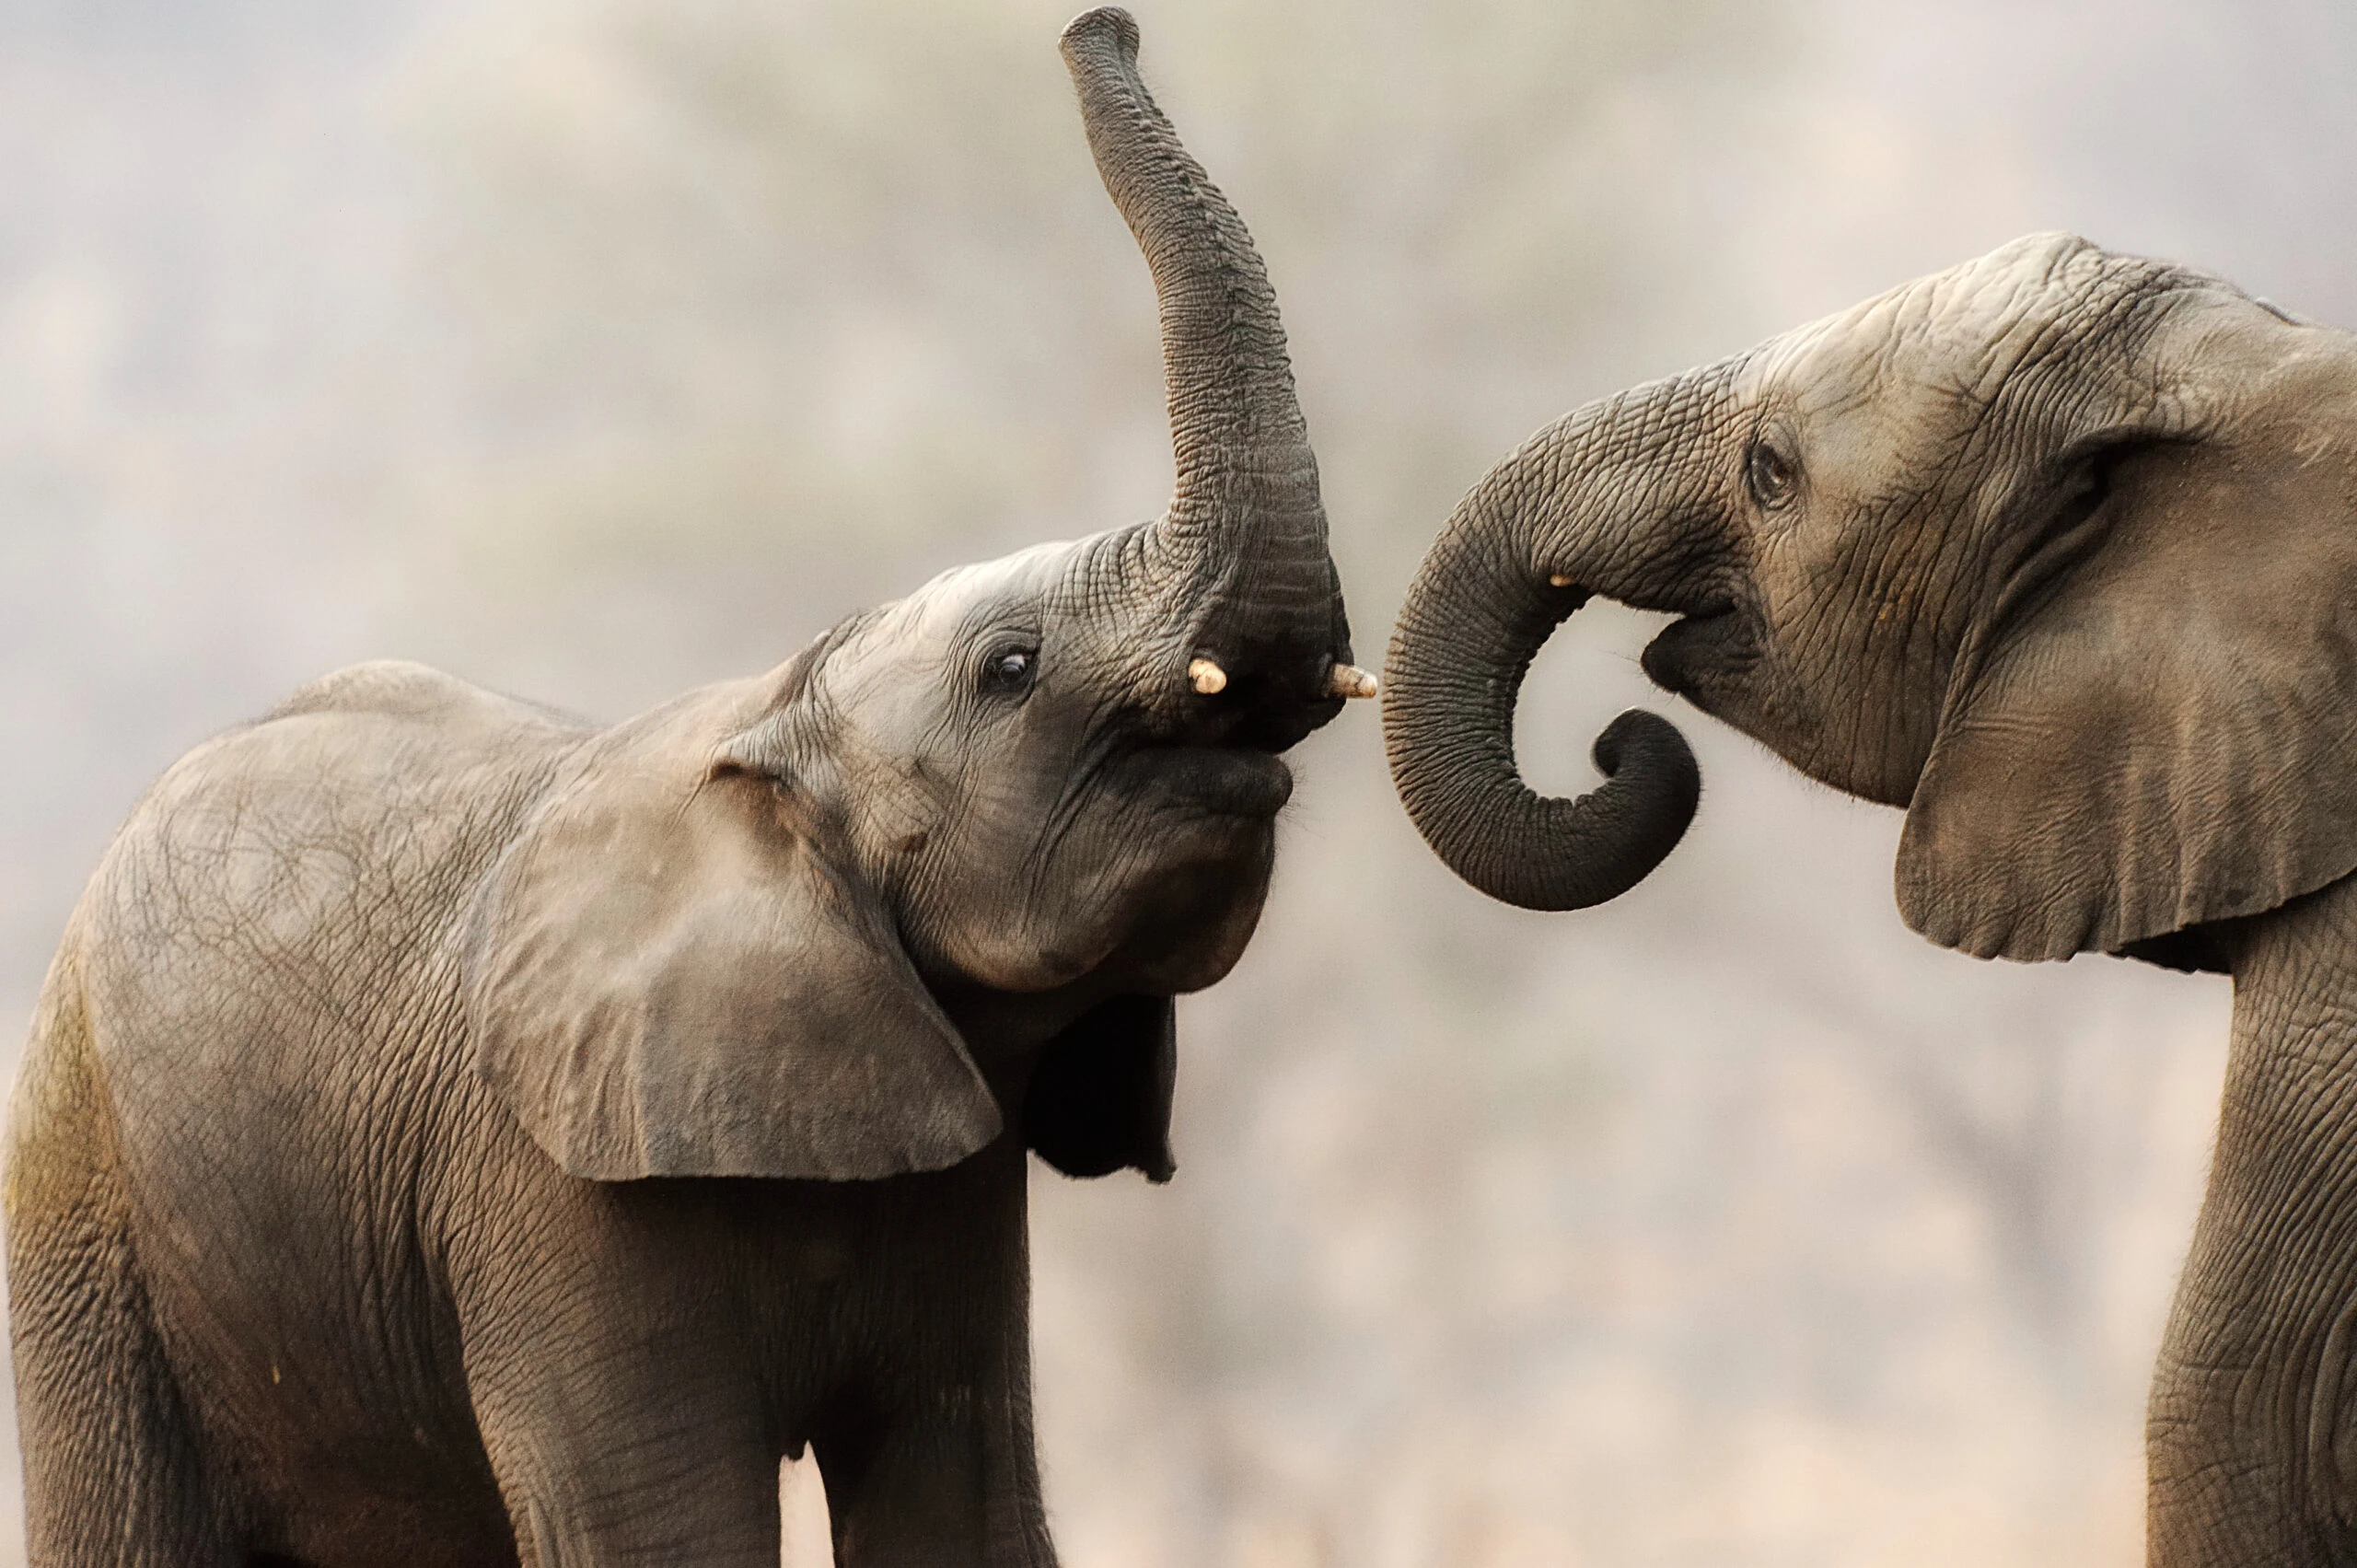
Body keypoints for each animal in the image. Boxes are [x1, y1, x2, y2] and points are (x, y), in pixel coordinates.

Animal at [3, 11, 1375, 1567]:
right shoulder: (552, 1189)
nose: (1100, 26)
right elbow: (666, 1527)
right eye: (1013, 666)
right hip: (81, 1204)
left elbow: (962, 1506)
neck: (775, 715)